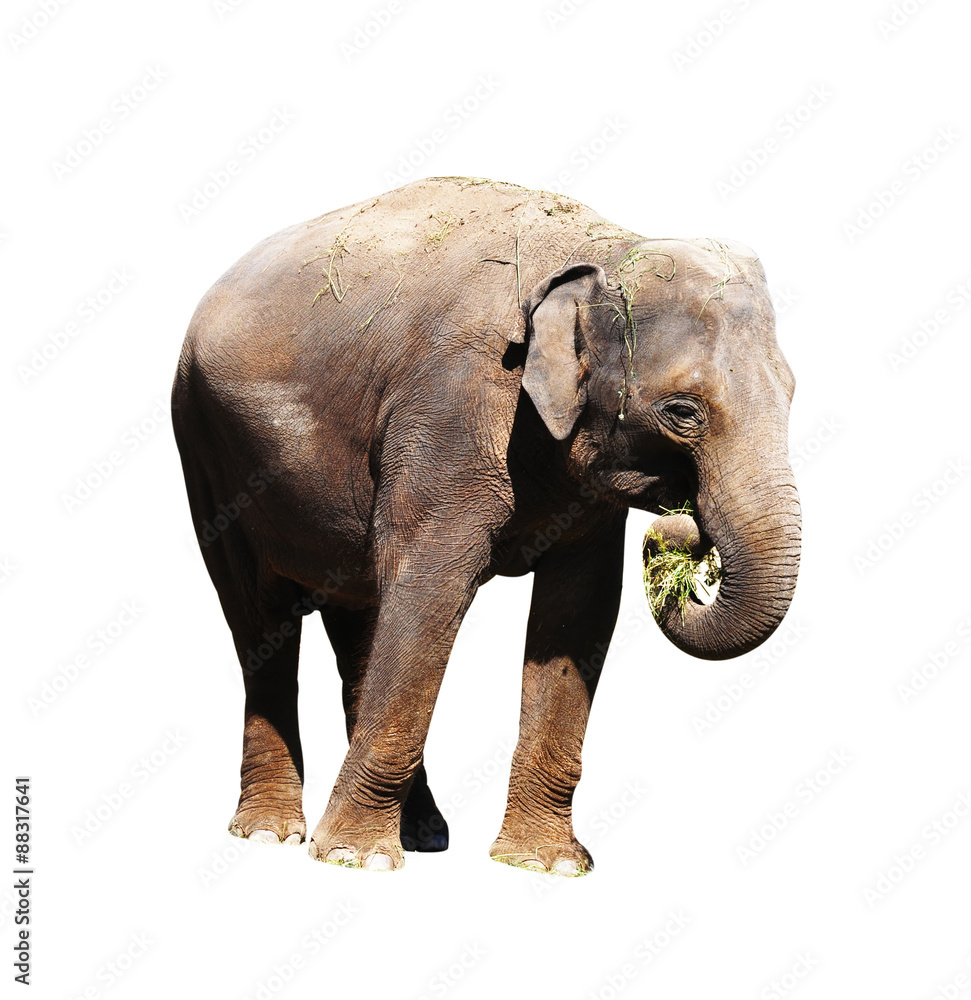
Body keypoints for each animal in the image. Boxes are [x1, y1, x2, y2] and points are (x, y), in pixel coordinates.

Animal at [171, 176, 800, 875]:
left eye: (793, 393)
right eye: (683, 412)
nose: (680, 537)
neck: (600, 248)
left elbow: (578, 611)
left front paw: (546, 865)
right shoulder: (451, 408)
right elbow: (430, 586)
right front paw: (357, 861)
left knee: (358, 617)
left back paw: (420, 834)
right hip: (206, 452)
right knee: (260, 619)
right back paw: (271, 835)